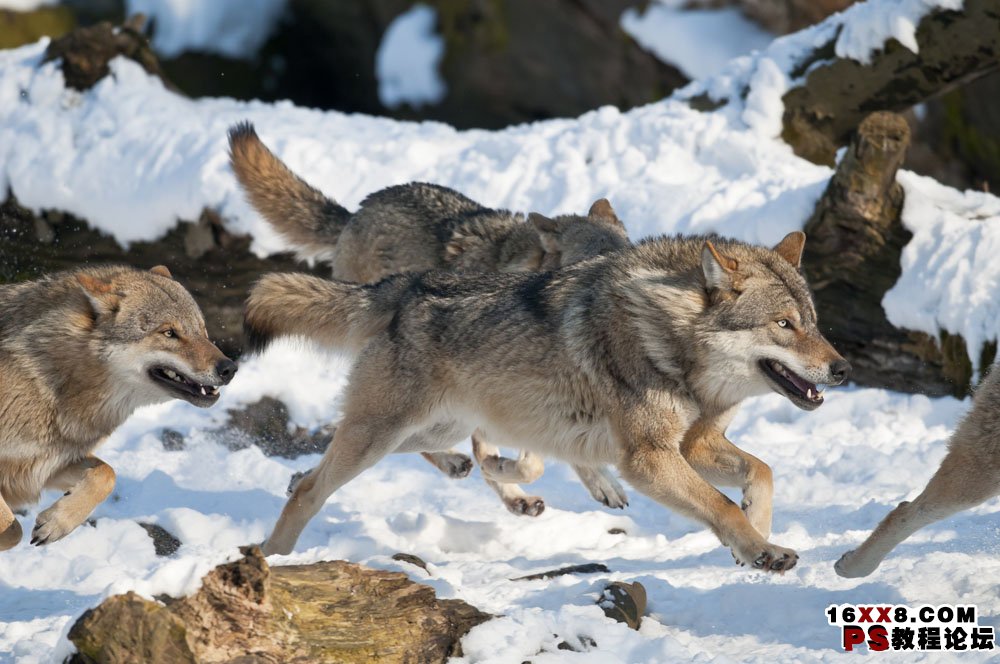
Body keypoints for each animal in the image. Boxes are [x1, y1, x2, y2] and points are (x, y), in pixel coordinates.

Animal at [0, 264, 236, 548]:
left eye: (202, 330)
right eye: (169, 333)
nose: (229, 368)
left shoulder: (49, 465)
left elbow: (107, 475)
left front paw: (57, 523)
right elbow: (12, 531)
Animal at [246, 231, 848, 568]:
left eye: (814, 323)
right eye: (784, 325)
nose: (842, 369)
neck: (673, 343)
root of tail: (405, 285)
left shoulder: (694, 445)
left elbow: (762, 473)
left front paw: (757, 537)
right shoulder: (648, 458)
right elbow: (719, 504)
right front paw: (764, 550)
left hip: (430, 426)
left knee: (375, 460)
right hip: (382, 434)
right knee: (313, 486)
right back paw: (270, 558)